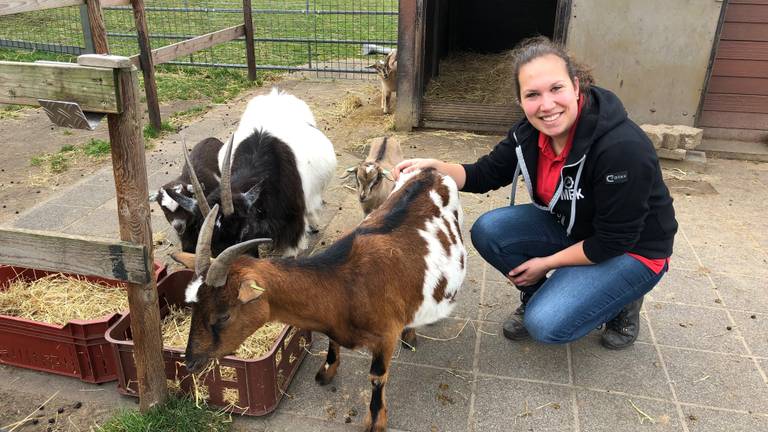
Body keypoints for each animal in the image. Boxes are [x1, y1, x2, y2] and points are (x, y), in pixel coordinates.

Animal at [171, 168, 464, 432]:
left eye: (223, 315)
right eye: (193, 306)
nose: (190, 362)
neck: (346, 286)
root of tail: (432, 171)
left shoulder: (386, 336)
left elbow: (377, 377)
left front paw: (375, 421)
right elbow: (332, 343)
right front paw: (326, 372)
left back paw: (411, 335)